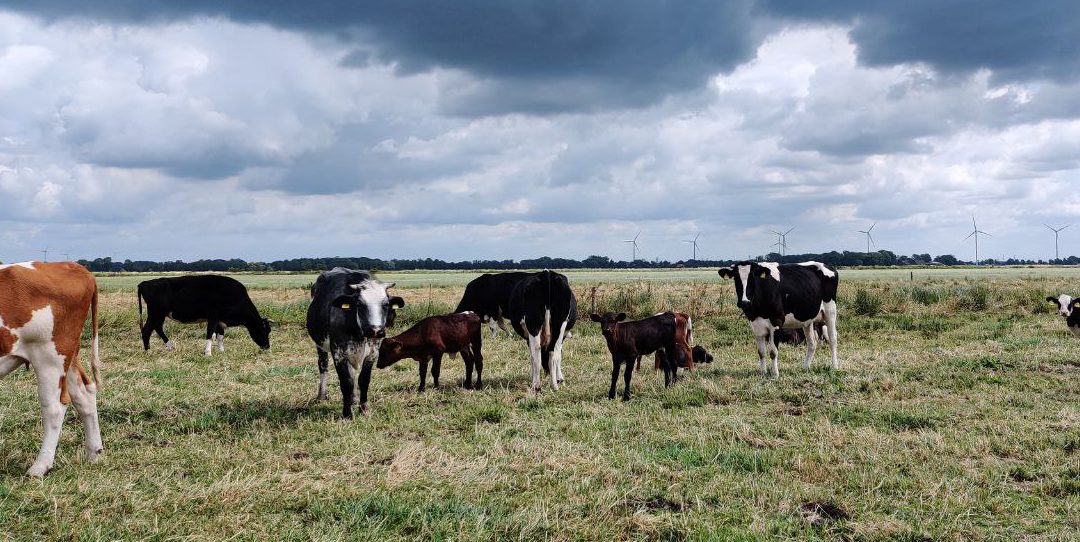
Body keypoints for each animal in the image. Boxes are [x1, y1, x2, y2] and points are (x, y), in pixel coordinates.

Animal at [0, 262, 103, 479]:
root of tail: (72, 265)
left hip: (50, 357)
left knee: (54, 407)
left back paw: (40, 467)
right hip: (69, 356)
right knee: (84, 394)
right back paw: (94, 453)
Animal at [137, 275, 272, 356]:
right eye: (264, 330)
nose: (267, 346)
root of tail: (144, 283)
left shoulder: (219, 320)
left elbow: (220, 336)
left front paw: (221, 351)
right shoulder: (213, 317)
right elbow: (210, 335)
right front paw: (208, 353)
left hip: (159, 314)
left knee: (157, 328)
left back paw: (169, 346)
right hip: (155, 312)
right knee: (147, 330)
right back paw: (148, 351)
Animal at [308, 267, 406, 418]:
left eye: (385, 305)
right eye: (360, 304)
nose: (375, 330)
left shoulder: (372, 354)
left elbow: (363, 380)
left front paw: (364, 409)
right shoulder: (339, 354)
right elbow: (346, 382)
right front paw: (347, 414)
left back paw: (353, 399)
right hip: (321, 345)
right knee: (323, 366)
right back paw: (322, 396)